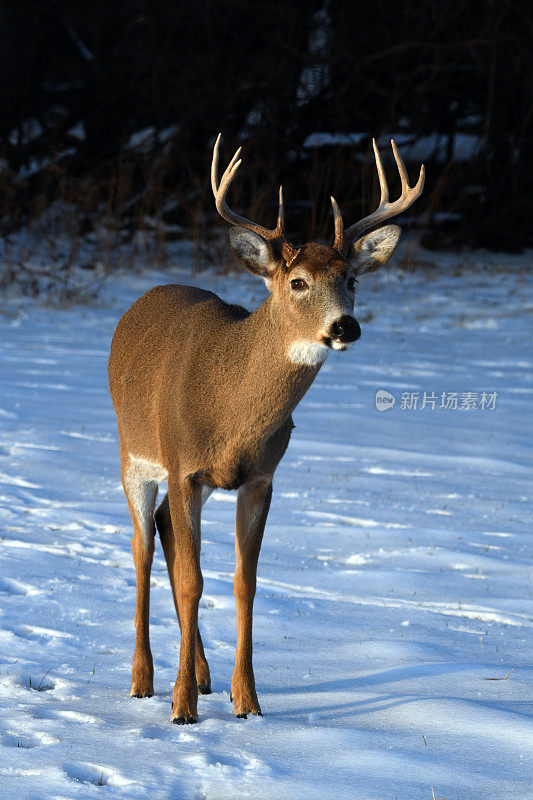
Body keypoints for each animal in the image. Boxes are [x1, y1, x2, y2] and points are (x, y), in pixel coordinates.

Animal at [109, 133, 424, 724]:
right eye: (298, 281)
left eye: (351, 279)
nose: (345, 326)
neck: (231, 412)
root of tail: (143, 298)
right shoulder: (184, 466)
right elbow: (193, 580)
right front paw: (182, 709)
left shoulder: (260, 477)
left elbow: (244, 582)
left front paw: (247, 701)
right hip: (133, 453)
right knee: (142, 544)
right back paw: (143, 680)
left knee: (164, 531)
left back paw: (203, 676)